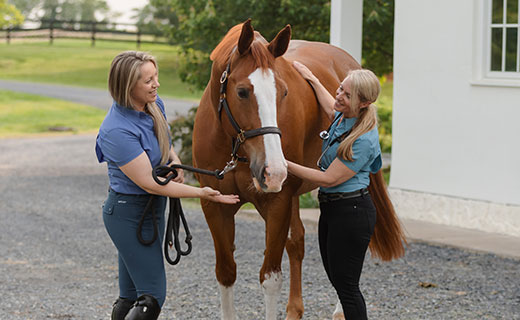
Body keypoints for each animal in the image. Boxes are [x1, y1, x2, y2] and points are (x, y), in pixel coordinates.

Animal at [191, 20, 406, 320]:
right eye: (242, 91)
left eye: (283, 92)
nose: (273, 170)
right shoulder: (215, 205)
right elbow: (226, 272)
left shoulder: (277, 202)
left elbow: (270, 278)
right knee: (297, 242)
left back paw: (339, 311)